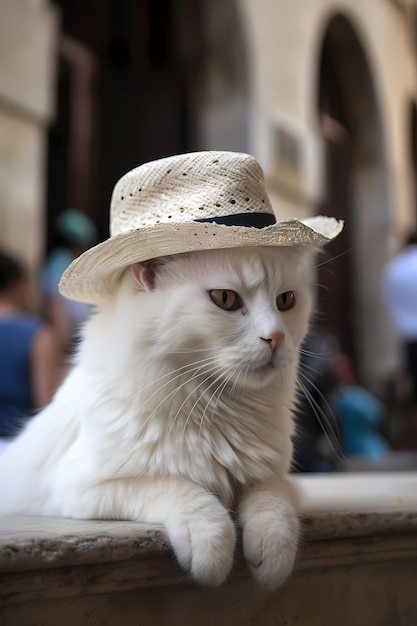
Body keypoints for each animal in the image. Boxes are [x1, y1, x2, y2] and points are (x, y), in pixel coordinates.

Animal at [0, 245, 312, 588]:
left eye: (286, 301)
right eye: (225, 298)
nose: (276, 337)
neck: (216, 407)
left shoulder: (274, 479)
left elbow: (273, 506)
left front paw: (272, 557)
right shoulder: (82, 487)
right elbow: (180, 489)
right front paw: (211, 545)